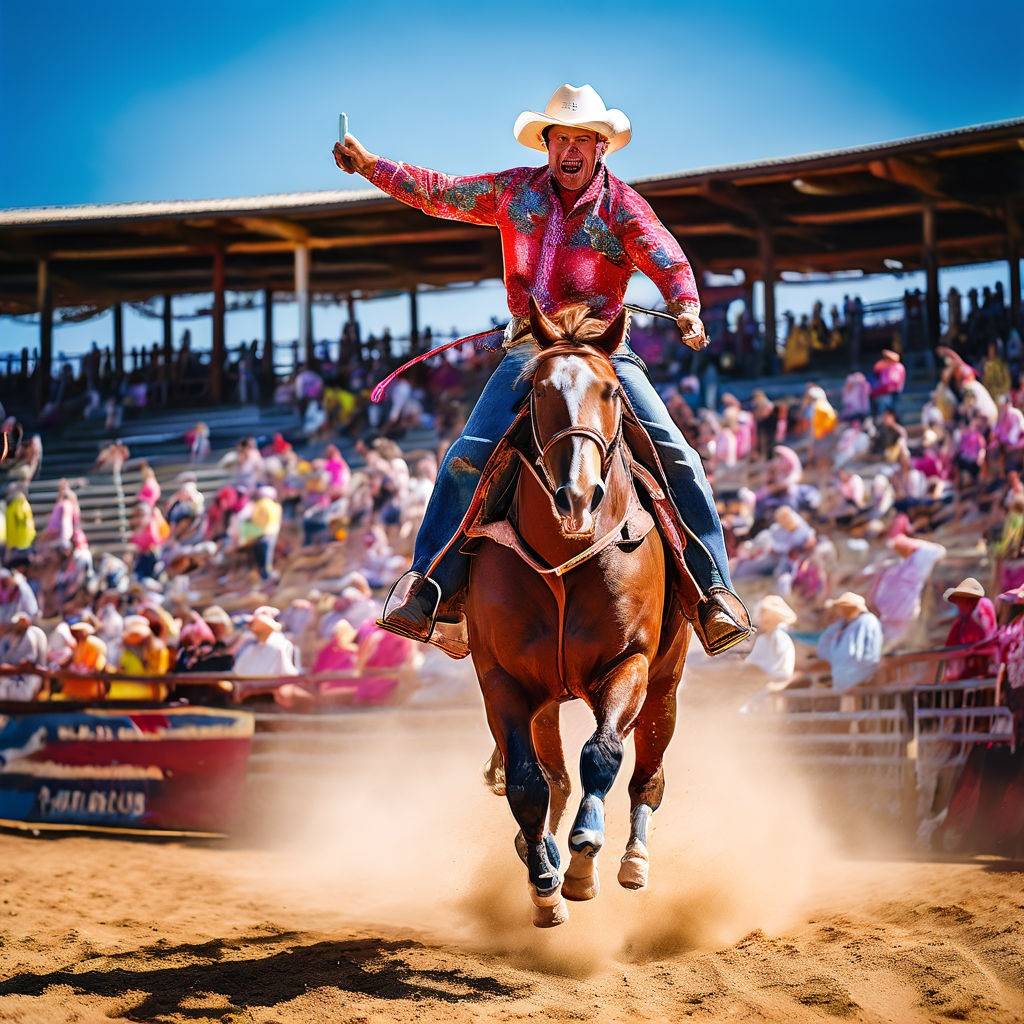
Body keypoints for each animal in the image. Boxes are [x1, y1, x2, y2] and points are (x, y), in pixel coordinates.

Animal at [468, 299, 692, 929]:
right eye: (537, 390)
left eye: (612, 390)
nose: (577, 495)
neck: (566, 558)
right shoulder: (502, 680)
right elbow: (526, 781)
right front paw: (545, 882)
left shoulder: (629, 663)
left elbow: (604, 753)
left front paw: (584, 858)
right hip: (546, 703)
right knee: (555, 780)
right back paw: (537, 849)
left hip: (665, 684)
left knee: (646, 775)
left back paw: (633, 859)